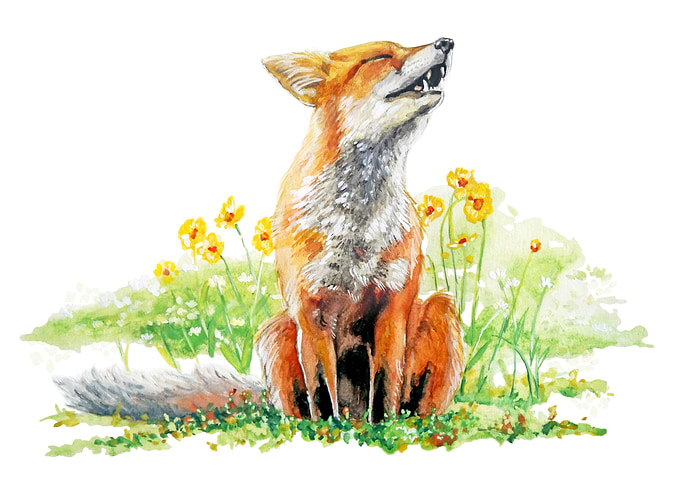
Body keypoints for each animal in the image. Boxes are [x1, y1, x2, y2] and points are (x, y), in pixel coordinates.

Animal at [55, 38, 464, 423]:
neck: (356, 233)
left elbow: (385, 388)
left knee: (415, 404)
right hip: (276, 330)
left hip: (440, 310)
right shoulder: (309, 313)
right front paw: (327, 434)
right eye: (379, 57)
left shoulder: (393, 306)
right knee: (299, 407)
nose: (446, 42)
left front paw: (382, 429)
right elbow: (321, 392)